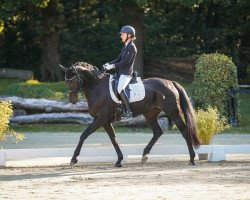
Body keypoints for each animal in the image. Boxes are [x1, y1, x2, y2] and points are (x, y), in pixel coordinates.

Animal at [59, 61, 200, 166]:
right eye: (66, 81)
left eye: (71, 81)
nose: (72, 100)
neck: (97, 87)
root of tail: (171, 82)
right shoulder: (105, 121)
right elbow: (114, 139)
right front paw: (119, 160)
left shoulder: (100, 119)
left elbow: (84, 135)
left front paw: (74, 159)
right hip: (150, 114)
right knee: (158, 131)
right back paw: (144, 156)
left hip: (173, 112)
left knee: (184, 130)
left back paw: (192, 159)